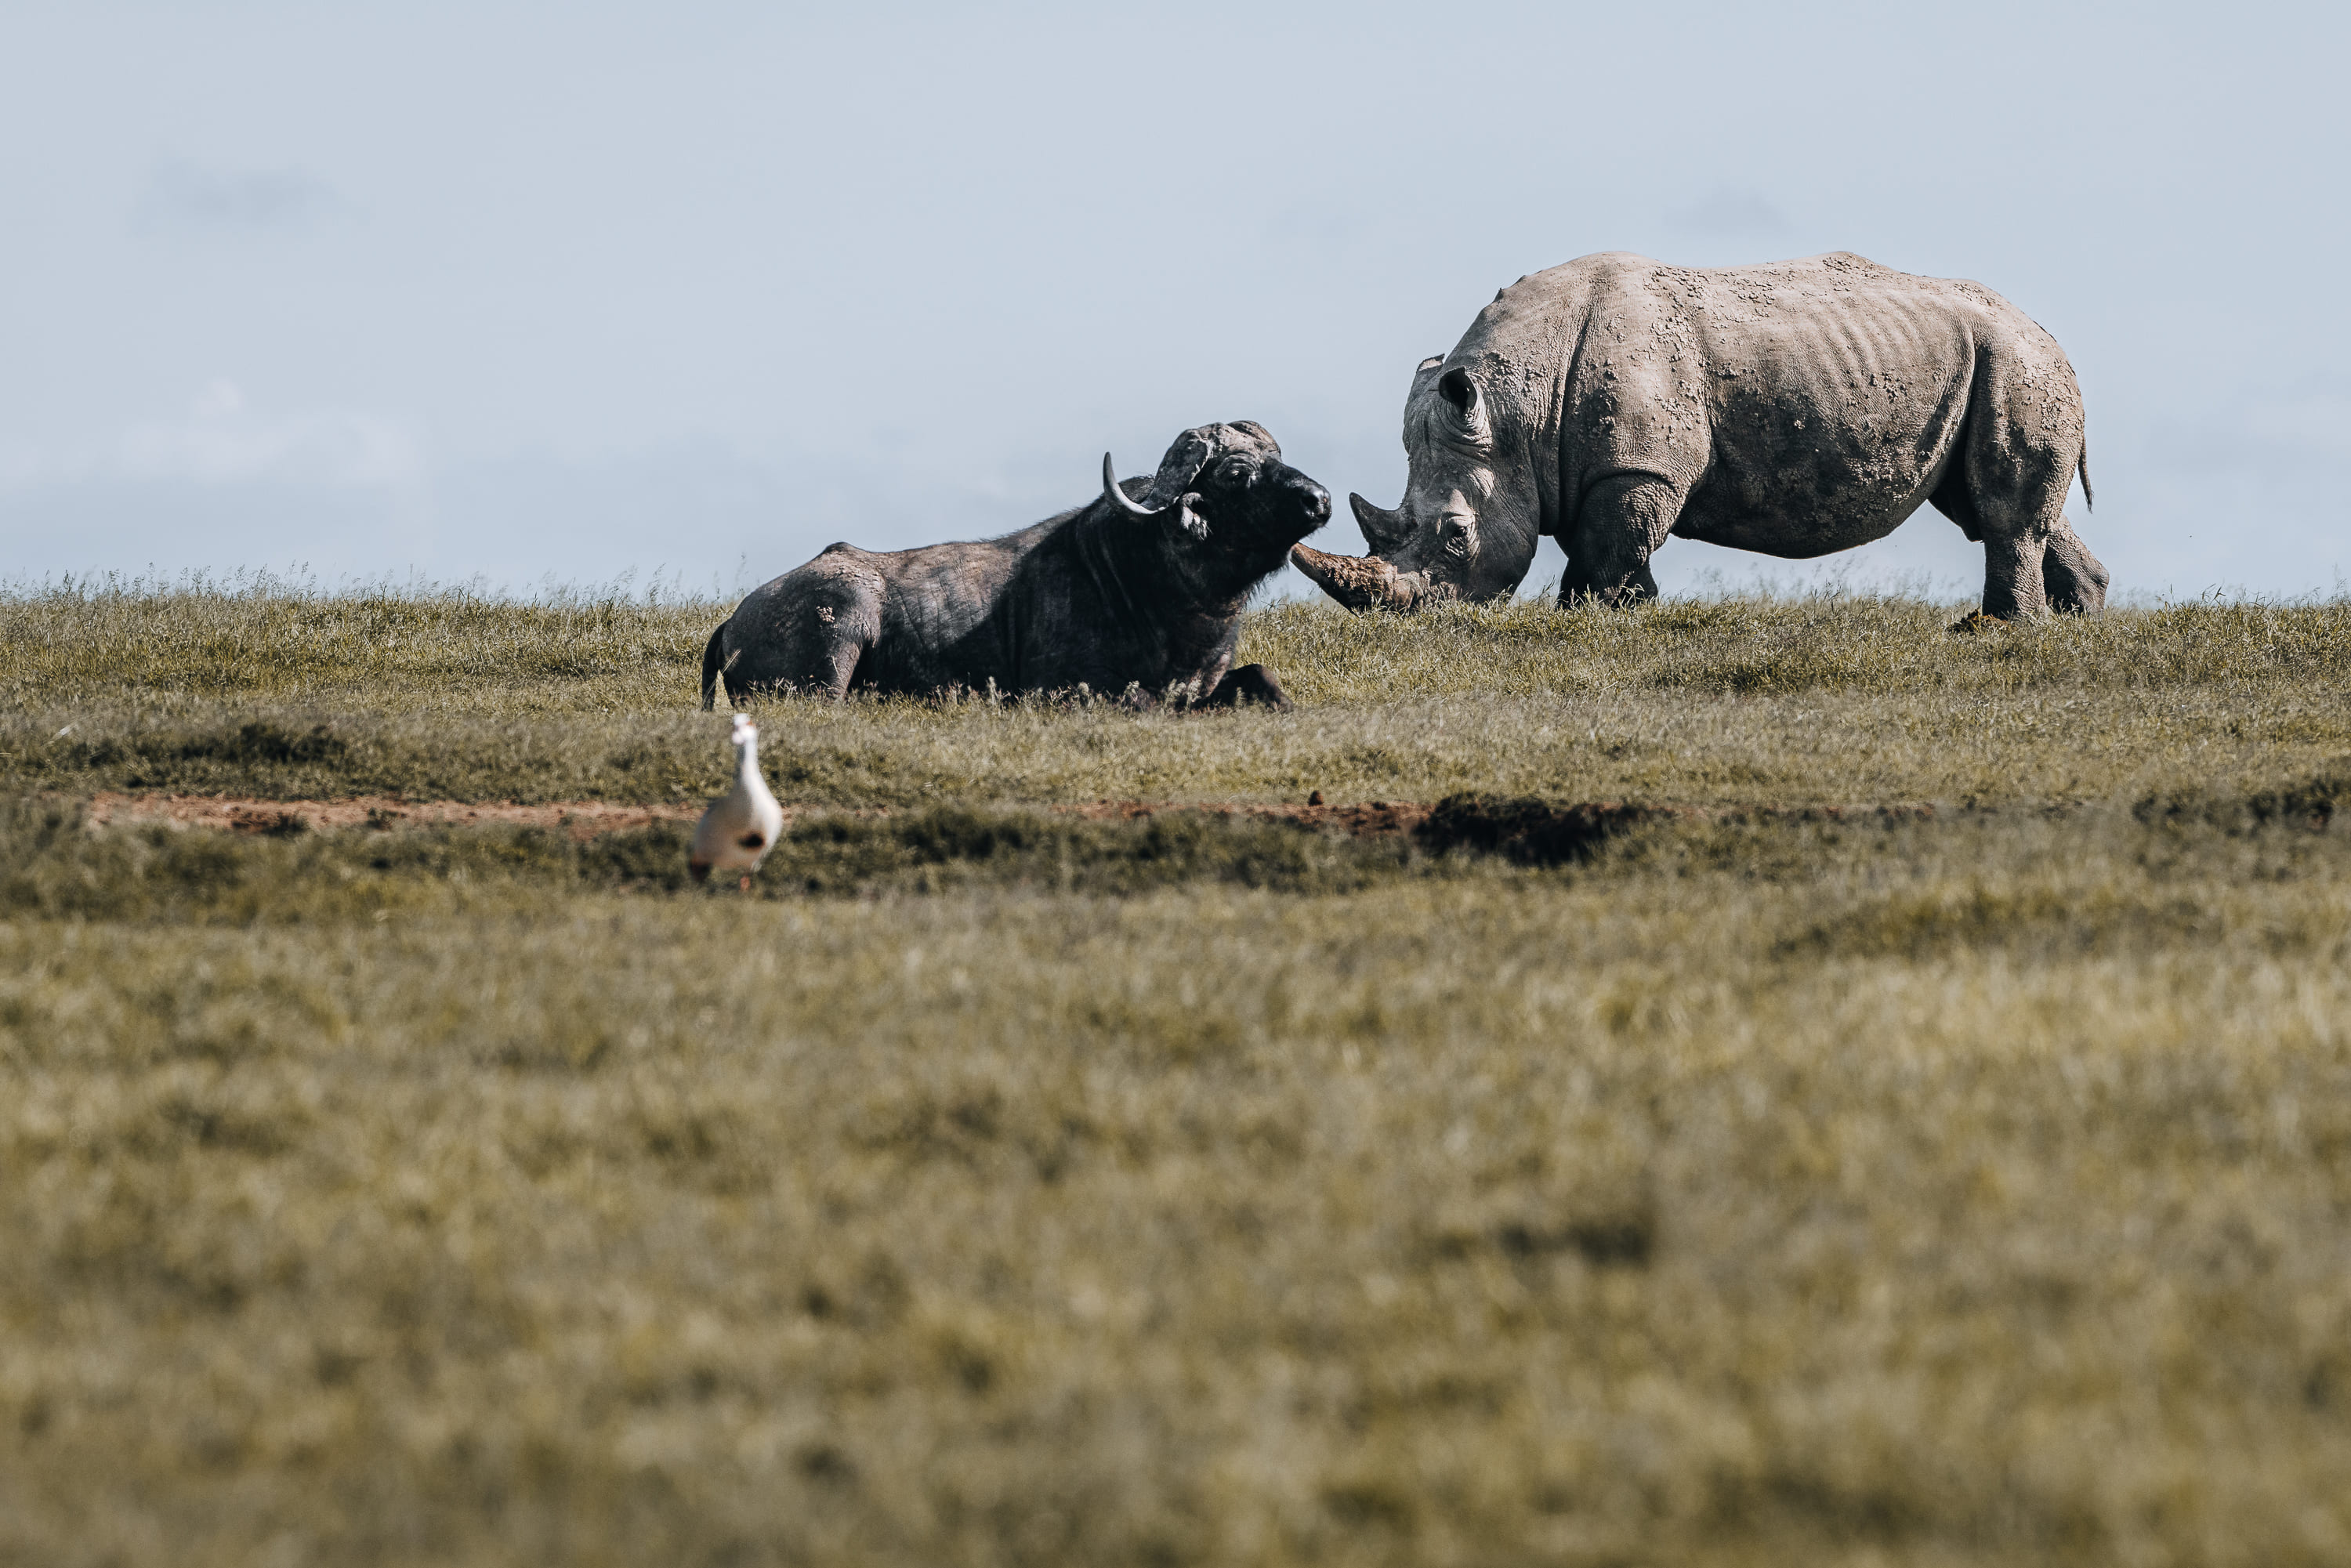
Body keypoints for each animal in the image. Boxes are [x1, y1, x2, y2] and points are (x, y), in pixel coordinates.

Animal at [701, 420, 1330, 709]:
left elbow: (1263, 678)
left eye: (1278, 456)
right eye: (1236, 473)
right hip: (838, 639)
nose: (1318, 499)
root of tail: (734, 622)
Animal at [1292, 251, 2107, 619]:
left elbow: (1607, 545)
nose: (1412, 620)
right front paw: (1620, 609)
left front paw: (1595, 615)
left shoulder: (1637, 467)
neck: (1516, 411)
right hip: (1992, 362)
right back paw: (2072, 620)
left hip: (2014, 358)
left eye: (1456, 536)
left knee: (1999, 512)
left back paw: (1997, 628)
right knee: (1982, 505)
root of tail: (2047, 331)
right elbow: (1603, 543)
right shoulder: (1589, 466)